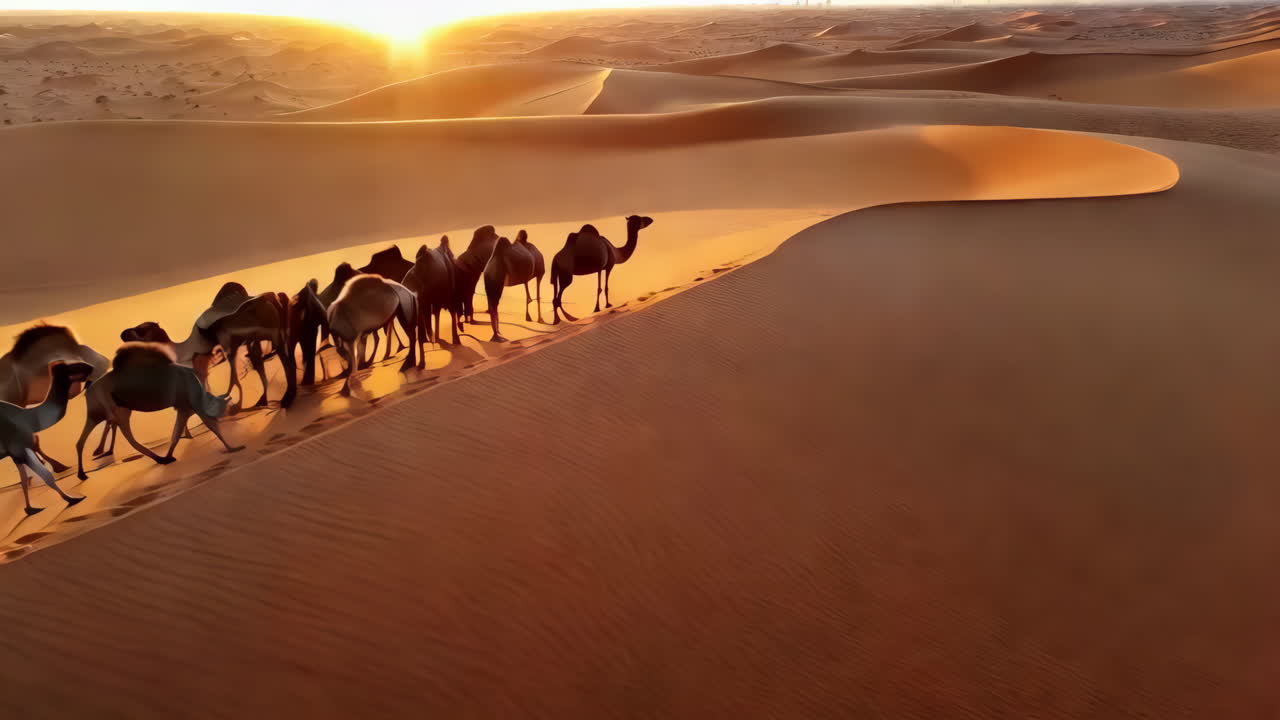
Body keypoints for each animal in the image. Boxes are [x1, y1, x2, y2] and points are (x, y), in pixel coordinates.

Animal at [1, 361, 94, 515]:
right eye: (70, 367)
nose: (89, 366)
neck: (29, 418)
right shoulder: (19, 446)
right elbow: (46, 476)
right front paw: (72, 499)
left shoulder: (15, 454)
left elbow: (24, 481)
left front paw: (30, 509)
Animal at [75, 343, 241, 482]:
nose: (232, 411)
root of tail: (88, 392)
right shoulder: (191, 405)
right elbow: (209, 426)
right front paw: (233, 448)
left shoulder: (184, 408)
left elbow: (176, 434)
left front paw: (170, 455)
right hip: (110, 410)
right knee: (121, 435)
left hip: (105, 412)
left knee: (86, 439)